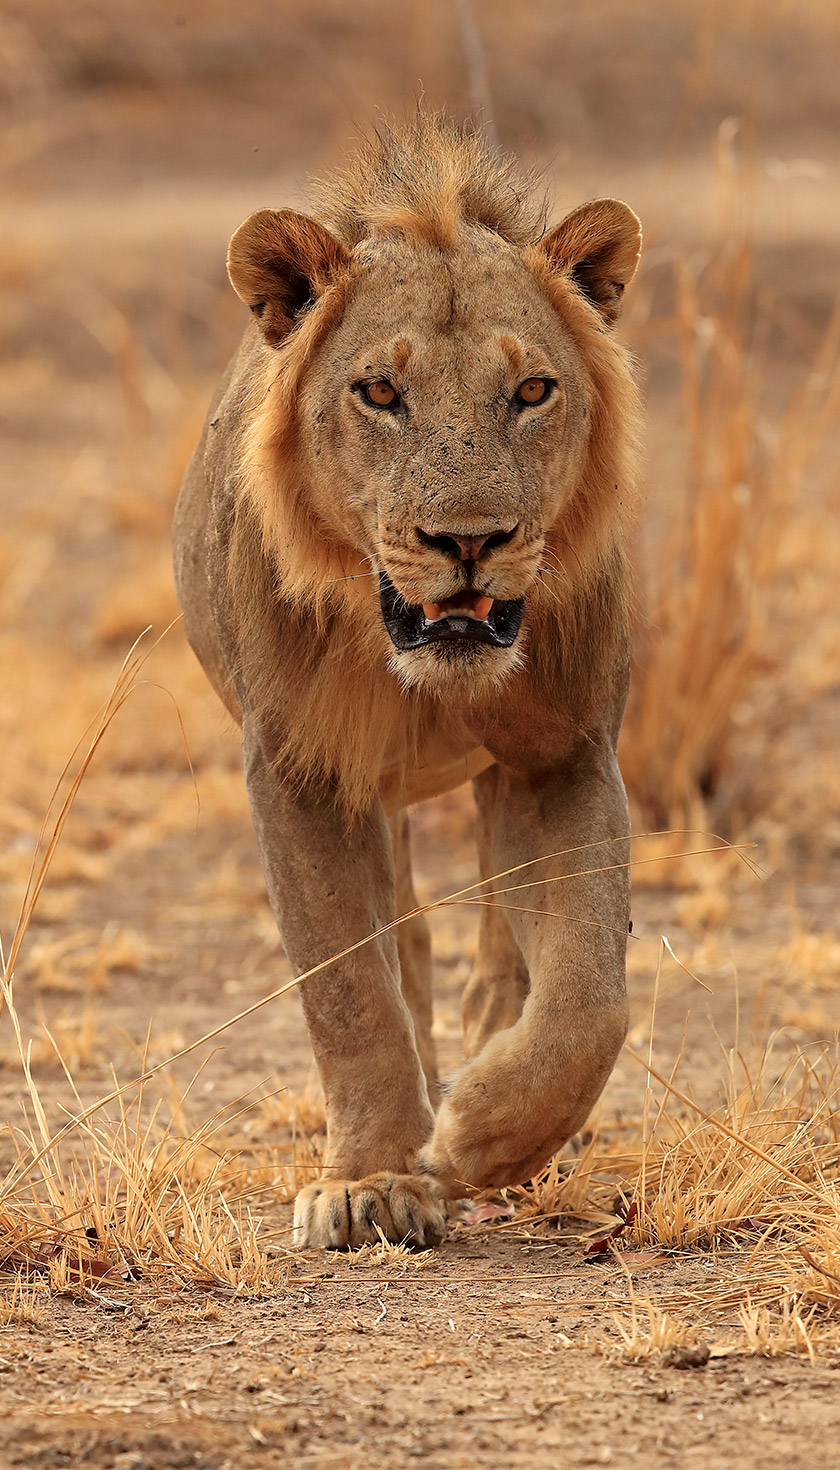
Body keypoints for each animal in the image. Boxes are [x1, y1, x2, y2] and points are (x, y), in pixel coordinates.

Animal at [173, 114, 642, 1249]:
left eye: (532, 391)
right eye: (380, 393)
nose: (468, 542)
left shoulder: (564, 754)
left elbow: (588, 990)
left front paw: (487, 1134)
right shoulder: (300, 771)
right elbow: (350, 990)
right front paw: (376, 1181)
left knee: (508, 948)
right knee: (409, 942)